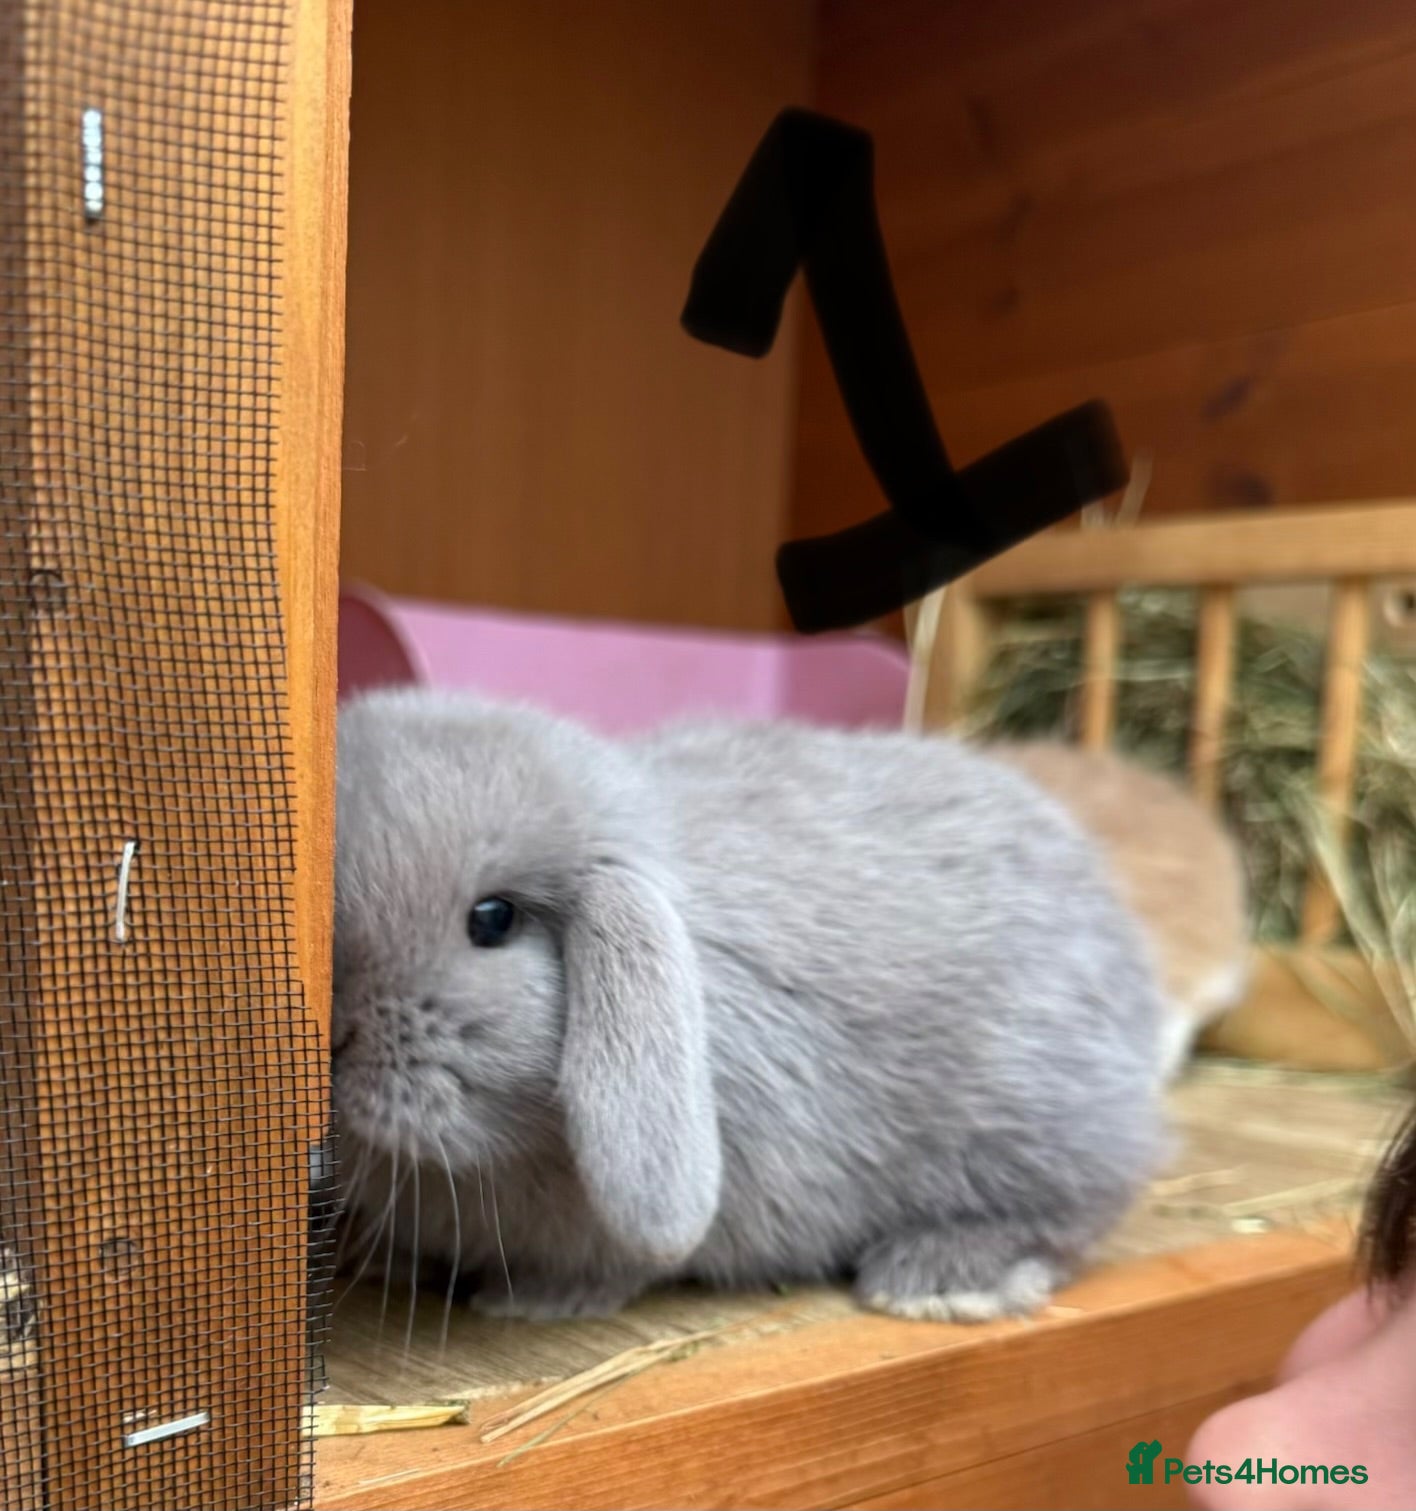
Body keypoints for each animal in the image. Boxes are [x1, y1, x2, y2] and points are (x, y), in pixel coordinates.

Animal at [332, 688, 1167, 1324]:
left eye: (494, 919)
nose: (336, 1035)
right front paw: (385, 1261)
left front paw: (533, 1301)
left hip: (1031, 1123)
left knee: (1076, 1209)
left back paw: (939, 1278)